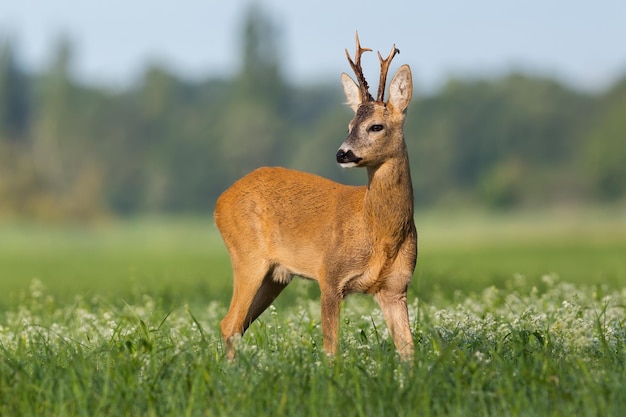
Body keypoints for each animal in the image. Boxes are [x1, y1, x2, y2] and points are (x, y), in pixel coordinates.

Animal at [213, 33, 414, 358]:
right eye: (349, 125)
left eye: (376, 126)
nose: (342, 153)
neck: (378, 232)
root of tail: (220, 201)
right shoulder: (329, 275)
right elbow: (331, 349)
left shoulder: (396, 288)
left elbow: (409, 350)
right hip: (247, 256)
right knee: (229, 324)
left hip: (274, 275)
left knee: (238, 325)